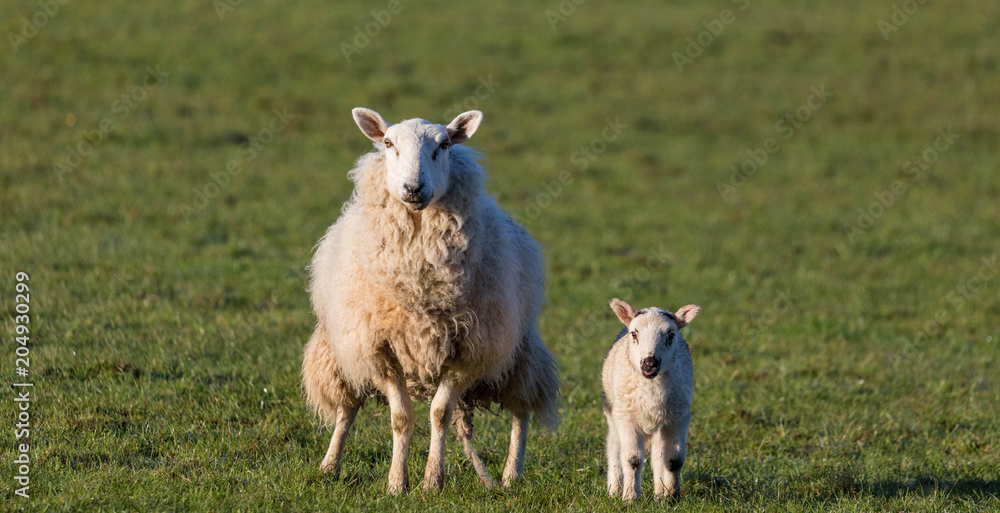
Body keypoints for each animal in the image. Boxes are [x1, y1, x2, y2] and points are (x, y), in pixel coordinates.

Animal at [302, 107, 559, 494]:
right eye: (388, 143)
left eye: (444, 145)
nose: (413, 188)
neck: (418, 279)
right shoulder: (381, 349)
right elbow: (400, 417)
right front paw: (397, 483)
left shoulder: (467, 350)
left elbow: (440, 414)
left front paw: (431, 481)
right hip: (343, 353)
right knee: (346, 408)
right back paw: (329, 466)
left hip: (516, 350)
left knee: (521, 408)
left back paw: (511, 474)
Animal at [602, 298, 700, 501]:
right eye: (634, 334)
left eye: (671, 336)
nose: (649, 363)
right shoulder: (627, 418)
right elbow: (632, 459)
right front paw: (630, 498)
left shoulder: (678, 418)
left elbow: (674, 460)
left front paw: (671, 497)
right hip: (613, 411)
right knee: (614, 447)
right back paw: (614, 490)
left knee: (658, 456)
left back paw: (659, 492)